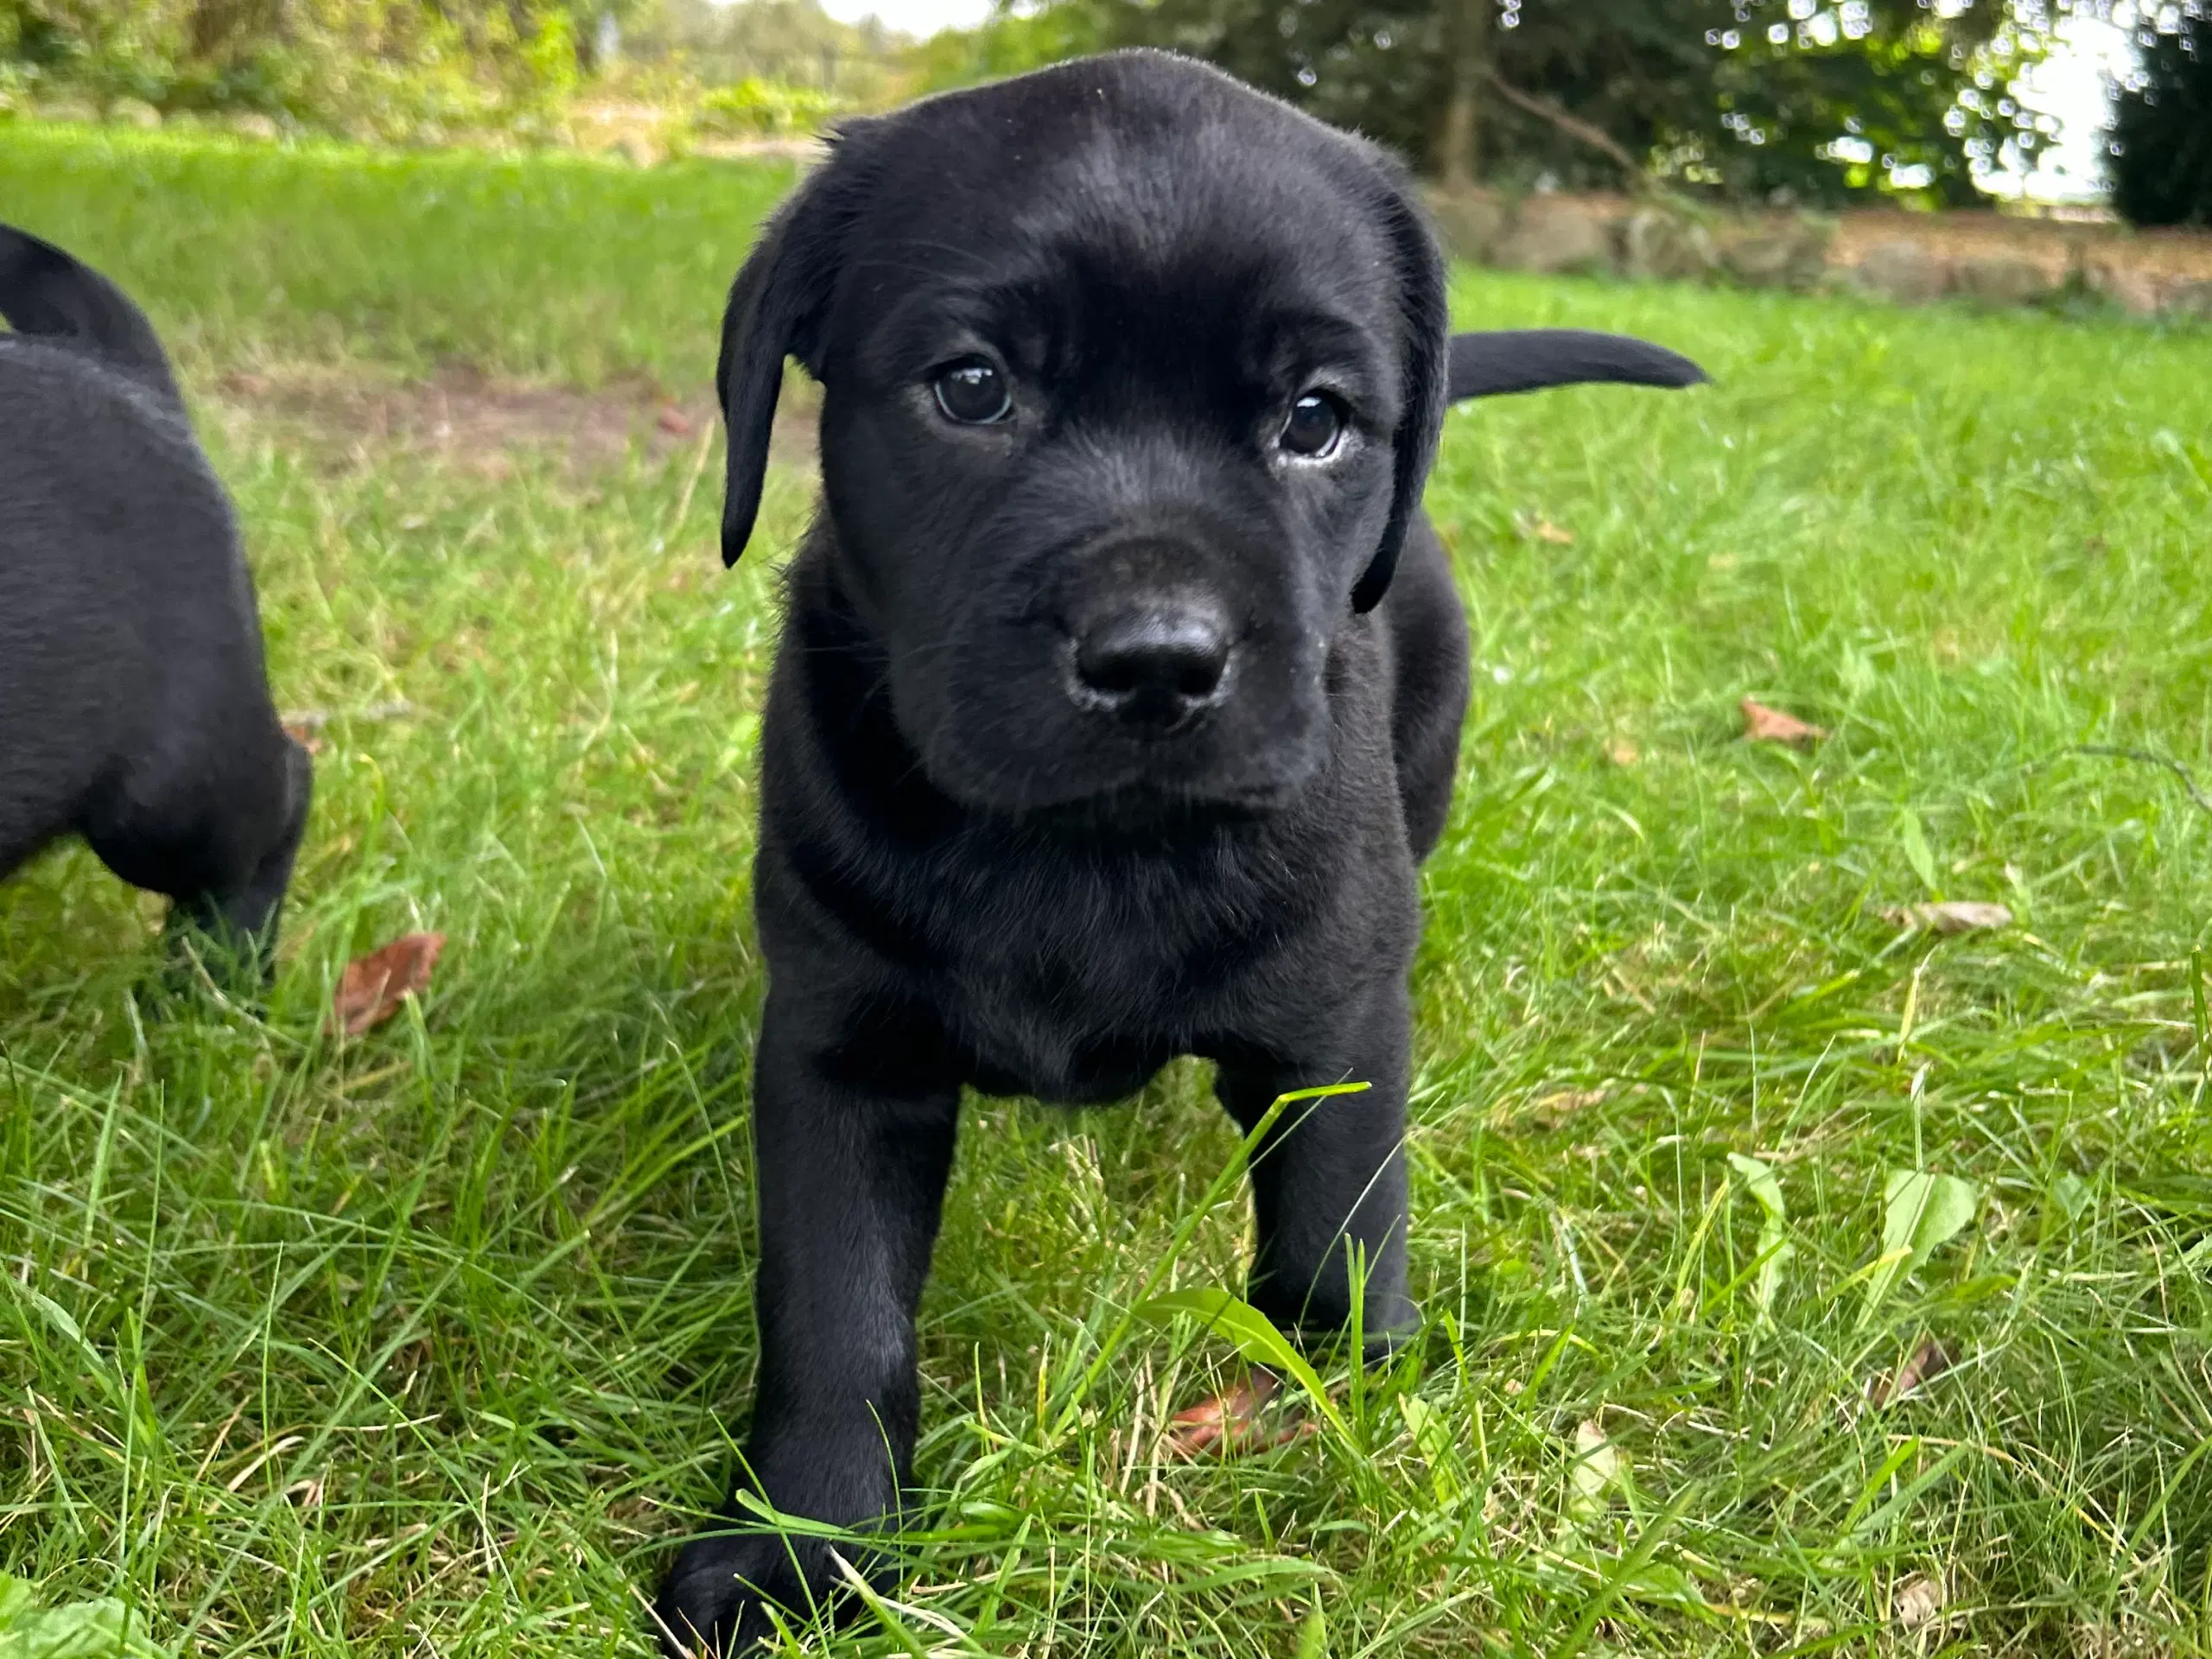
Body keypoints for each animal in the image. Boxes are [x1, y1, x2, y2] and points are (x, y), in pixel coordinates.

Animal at [658, 48, 1707, 1654]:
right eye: (973, 387)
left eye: (1317, 419)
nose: (1156, 659)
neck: (1088, 851)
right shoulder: (842, 1050)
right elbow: (837, 1313)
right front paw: (802, 1548)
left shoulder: (1335, 1030)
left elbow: (1337, 1237)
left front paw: (1350, 1431)